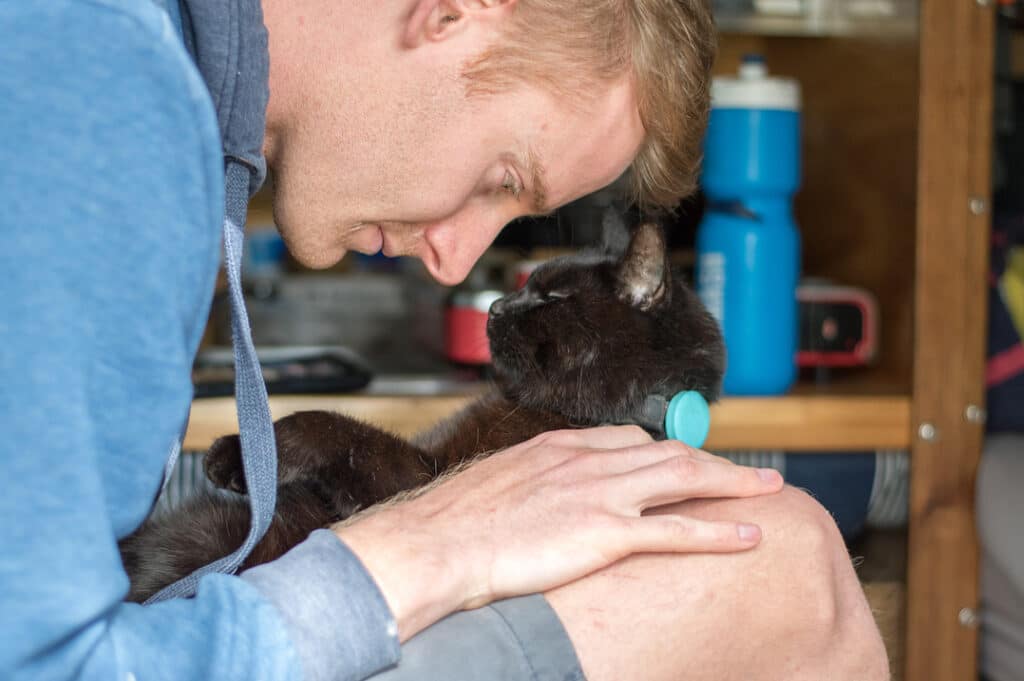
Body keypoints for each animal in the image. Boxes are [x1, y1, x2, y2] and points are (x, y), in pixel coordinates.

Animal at [119, 222, 724, 602]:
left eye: (553, 299)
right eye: (525, 285)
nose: (496, 306)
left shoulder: (416, 480)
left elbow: (337, 426)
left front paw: (245, 456)